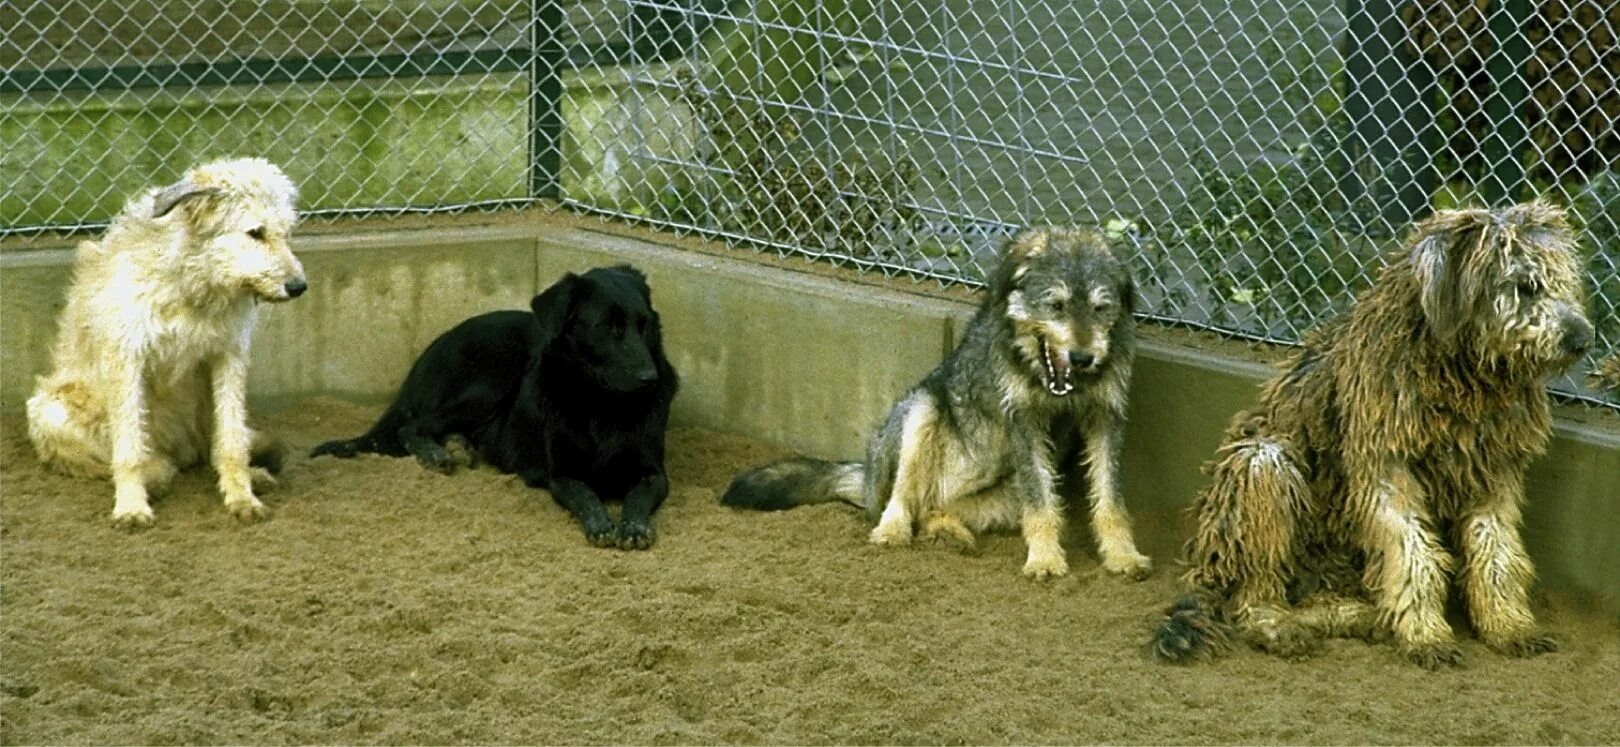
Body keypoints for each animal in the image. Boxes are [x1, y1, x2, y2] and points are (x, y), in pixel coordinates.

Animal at [27, 156, 306, 528]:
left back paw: (252, 473)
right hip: (50, 409)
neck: (191, 286)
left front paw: (242, 497)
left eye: (286, 233)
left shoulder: (228, 356)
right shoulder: (126, 358)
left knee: (212, 449)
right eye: (255, 232)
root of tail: (179, 449)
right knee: (132, 460)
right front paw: (132, 506)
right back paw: (156, 475)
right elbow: (129, 450)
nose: (299, 286)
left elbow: (231, 442)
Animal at [722, 225, 1153, 576]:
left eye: (1101, 308)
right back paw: (892, 532)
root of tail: (865, 476)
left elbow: (1110, 500)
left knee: (930, 510)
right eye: (1056, 305)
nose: (1083, 358)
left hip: (1003, 496)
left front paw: (1123, 556)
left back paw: (949, 534)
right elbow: (1043, 506)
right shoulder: (1024, 423)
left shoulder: (1106, 418)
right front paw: (1045, 560)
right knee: (902, 500)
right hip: (921, 409)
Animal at [1153, 200, 1594, 667]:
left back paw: (1362, 617)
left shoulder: (1491, 469)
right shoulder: (1386, 467)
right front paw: (1426, 634)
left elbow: (1497, 552)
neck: (1460, 376)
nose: (1583, 340)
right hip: (1260, 464)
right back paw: (1279, 627)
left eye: (1563, 283)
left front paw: (1508, 625)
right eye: (1526, 286)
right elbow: (1413, 554)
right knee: (1253, 593)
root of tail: (1205, 566)